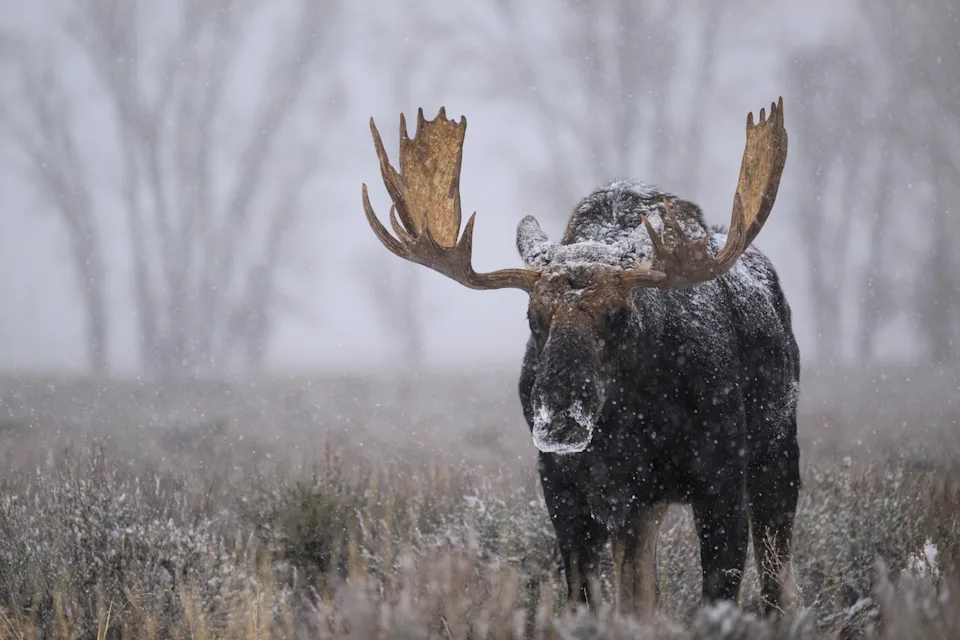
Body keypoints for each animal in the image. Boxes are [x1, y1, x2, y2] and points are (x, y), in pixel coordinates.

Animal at [360, 99, 799, 620]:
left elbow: (719, 596)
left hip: (778, 450)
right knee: (643, 585)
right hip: (641, 504)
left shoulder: (721, 475)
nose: (559, 421)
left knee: (776, 574)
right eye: (533, 317)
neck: (632, 428)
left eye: (620, 315)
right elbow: (588, 596)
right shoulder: (565, 486)